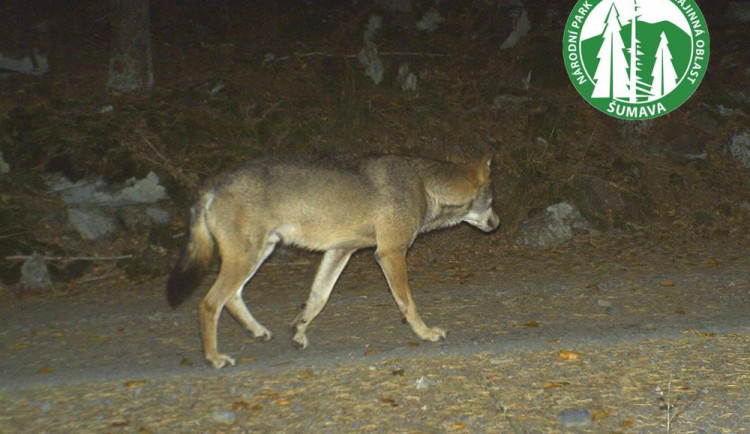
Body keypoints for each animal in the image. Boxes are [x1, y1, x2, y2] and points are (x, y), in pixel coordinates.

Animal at [167, 154, 496, 368]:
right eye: (493, 202)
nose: (498, 223)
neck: (423, 185)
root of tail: (215, 181)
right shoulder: (390, 253)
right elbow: (408, 304)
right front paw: (426, 334)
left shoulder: (339, 252)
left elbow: (317, 300)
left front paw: (298, 332)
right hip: (247, 258)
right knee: (209, 304)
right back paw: (214, 358)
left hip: (258, 254)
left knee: (233, 298)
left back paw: (258, 332)